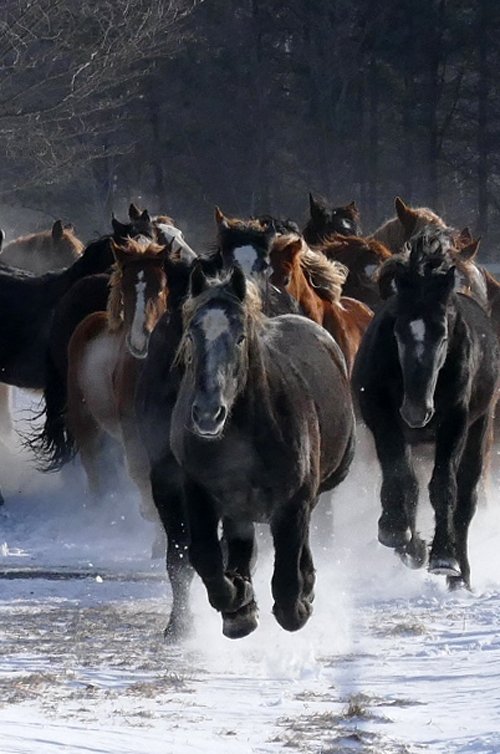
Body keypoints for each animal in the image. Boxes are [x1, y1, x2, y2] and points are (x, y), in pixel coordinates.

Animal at [139, 262, 354, 636]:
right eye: (191, 337)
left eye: (239, 338)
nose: (207, 413)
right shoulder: (199, 493)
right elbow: (206, 558)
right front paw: (238, 605)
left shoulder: (293, 503)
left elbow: (287, 584)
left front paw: (298, 603)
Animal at [352, 229, 500, 588]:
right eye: (397, 331)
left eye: (444, 334)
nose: (417, 411)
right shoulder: (381, 416)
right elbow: (401, 477)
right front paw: (399, 534)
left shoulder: (455, 422)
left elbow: (444, 485)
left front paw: (444, 557)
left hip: (480, 430)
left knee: (467, 498)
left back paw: (461, 574)